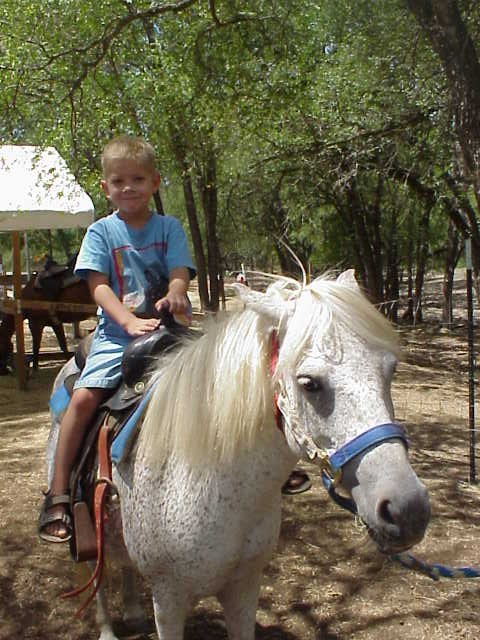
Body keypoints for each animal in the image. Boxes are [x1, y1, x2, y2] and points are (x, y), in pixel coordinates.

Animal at [44, 270, 430, 640]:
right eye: (309, 383)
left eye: (390, 370)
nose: (407, 510)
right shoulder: (168, 600)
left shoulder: (244, 587)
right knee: (93, 571)